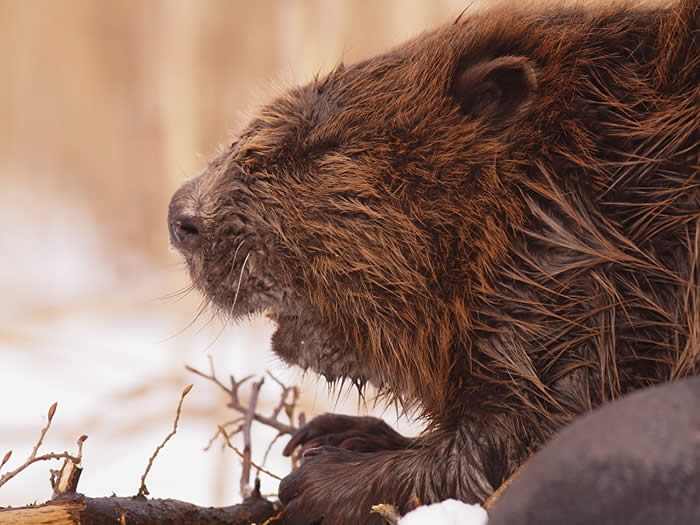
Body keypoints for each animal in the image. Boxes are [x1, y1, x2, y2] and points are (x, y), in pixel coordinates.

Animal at [167, 1, 696, 520]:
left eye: (321, 148)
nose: (179, 218)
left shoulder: (584, 297)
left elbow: (521, 437)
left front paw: (320, 479)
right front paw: (336, 432)